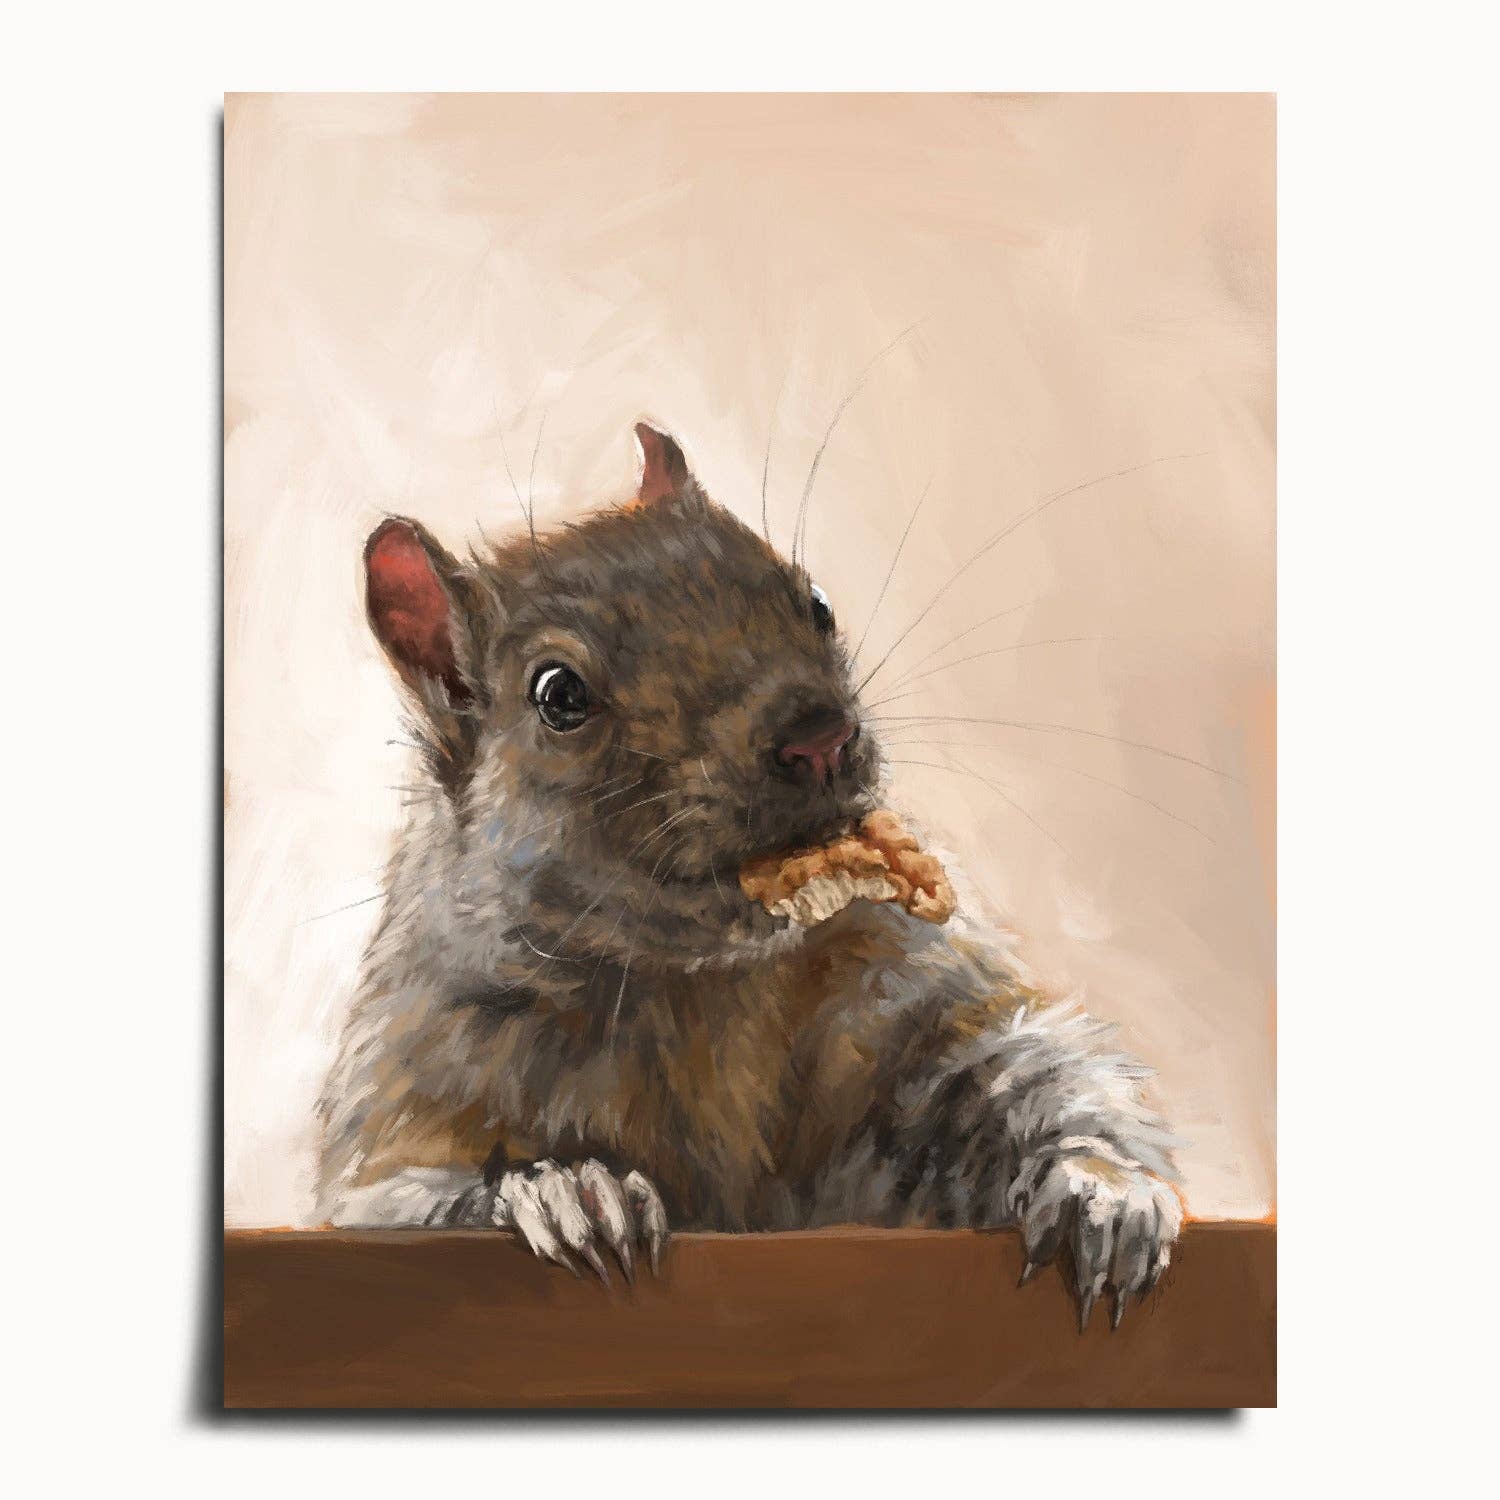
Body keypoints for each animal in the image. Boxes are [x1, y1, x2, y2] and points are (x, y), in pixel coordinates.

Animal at [316, 421, 1182, 1329]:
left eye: (818, 603)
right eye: (558, 694)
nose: (820, 735)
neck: (701, 984)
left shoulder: (903, 990)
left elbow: (1023, 1062)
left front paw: (1102, 1189)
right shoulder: (410, 1094)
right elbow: (397, 1198)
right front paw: (564, 1190)